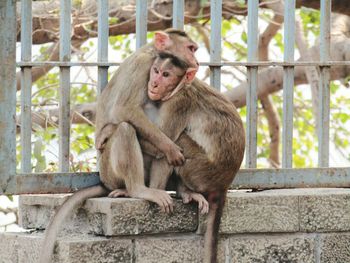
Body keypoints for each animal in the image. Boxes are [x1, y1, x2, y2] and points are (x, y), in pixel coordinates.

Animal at [39, 28, 200, 263]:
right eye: (190, 48)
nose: (196, 60)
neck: (151, 52)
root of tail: (104, 180)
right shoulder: (143, 67)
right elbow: (125, 109)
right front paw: (169, 147)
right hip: (109, 170)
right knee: (125, 129)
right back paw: (138, 189)